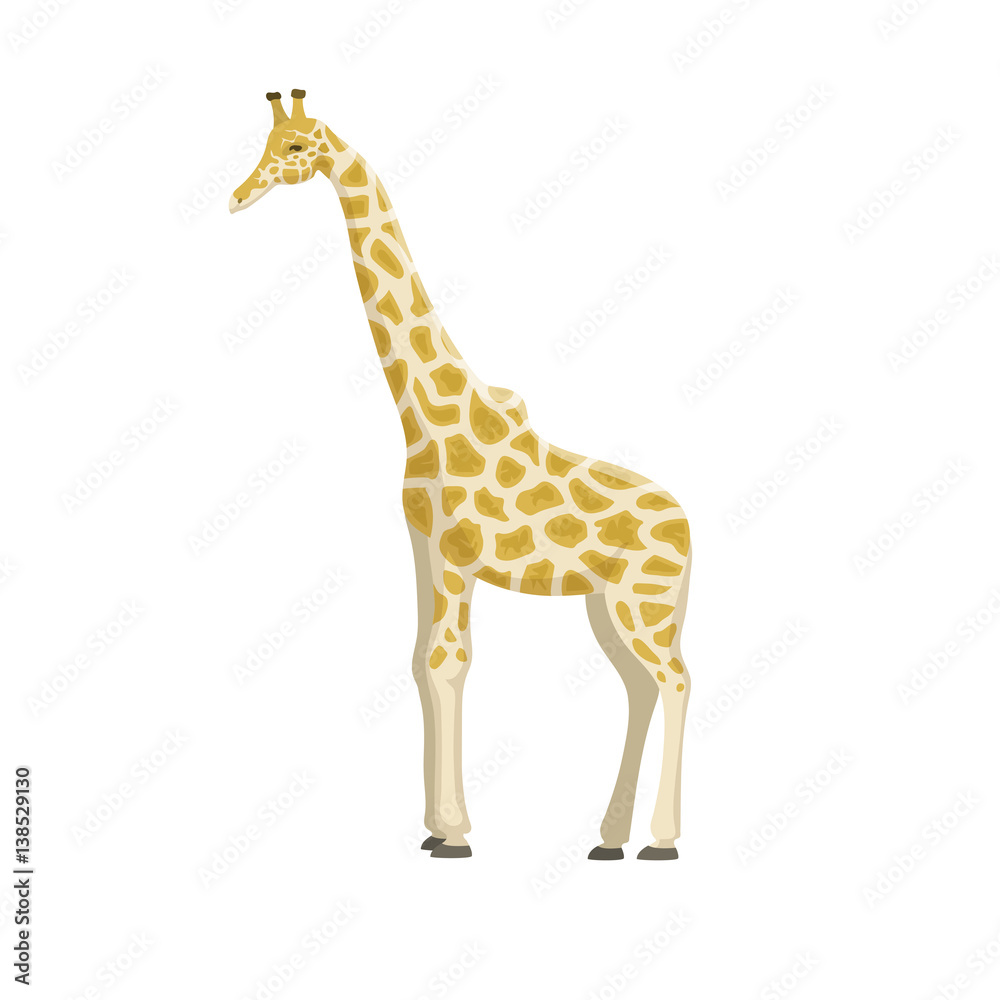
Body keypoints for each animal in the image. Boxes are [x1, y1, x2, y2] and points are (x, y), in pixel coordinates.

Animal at [230, 90, 693, 860]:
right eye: (264, 143)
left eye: (295, 148)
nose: (239, 195)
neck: (423, 415)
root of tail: (690, 527)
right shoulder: (422, 545)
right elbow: (422, 661)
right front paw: (436, 827)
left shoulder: (455, 553)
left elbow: (450, 661)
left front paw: (454, 832)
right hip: (611, 606)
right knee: (641, 688)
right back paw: (608, 837)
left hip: (646, 605)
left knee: (677, 682)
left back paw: (661, 841)